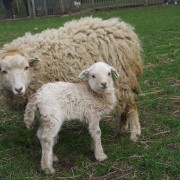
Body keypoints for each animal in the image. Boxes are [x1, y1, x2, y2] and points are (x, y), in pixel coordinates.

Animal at [0, 16, 143, 141]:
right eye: (4, 71)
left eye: (26, 67)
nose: (19, 89)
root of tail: (122, 27)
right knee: (125, 104)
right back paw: (122, 128)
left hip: (123, 77)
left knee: (131, 104)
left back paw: (135, 132)